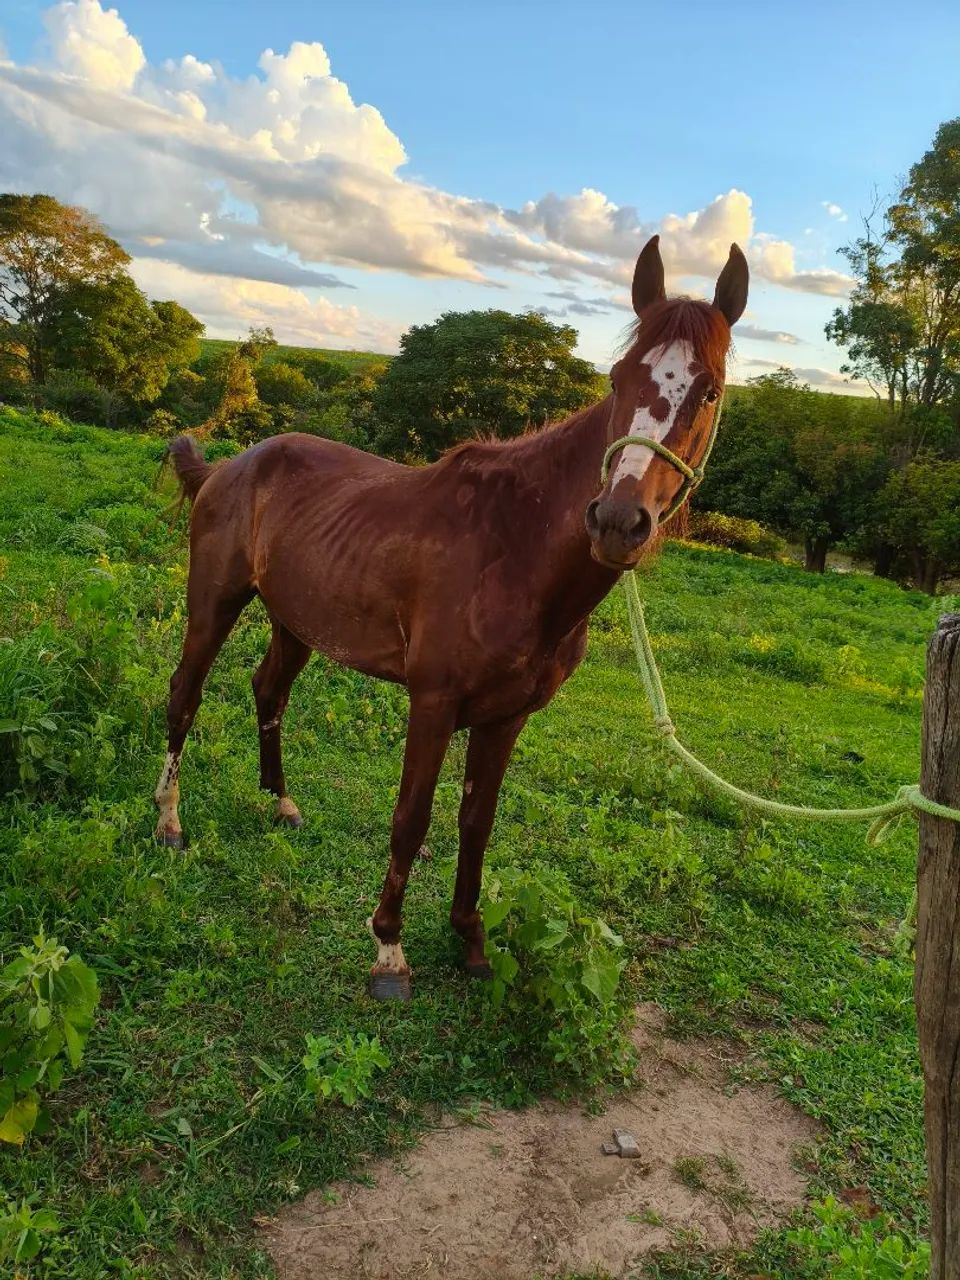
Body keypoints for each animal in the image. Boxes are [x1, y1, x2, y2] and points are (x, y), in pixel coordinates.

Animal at [156, 235, 748, 999]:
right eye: (618, 379)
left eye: (708, 391)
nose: (618, 521)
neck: (515, 548)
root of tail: (233, 466)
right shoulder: (433, 702)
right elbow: (412, 818)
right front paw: (389, 950)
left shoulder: (507, 717)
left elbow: (478, 820)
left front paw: (470, 939)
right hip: (214, 603)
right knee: (186, 695)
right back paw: (169, 822)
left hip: (296, 622)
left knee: (269, 692)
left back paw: (279, 802)